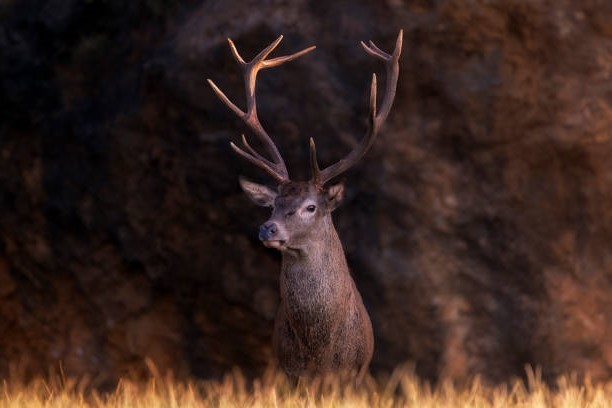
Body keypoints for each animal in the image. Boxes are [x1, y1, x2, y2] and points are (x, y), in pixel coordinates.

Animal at [208, 29, 404, 382]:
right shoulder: (290, 370)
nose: (267, 228)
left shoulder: (353, 371)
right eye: (273, 204)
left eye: (310, 207)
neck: (319, 354)